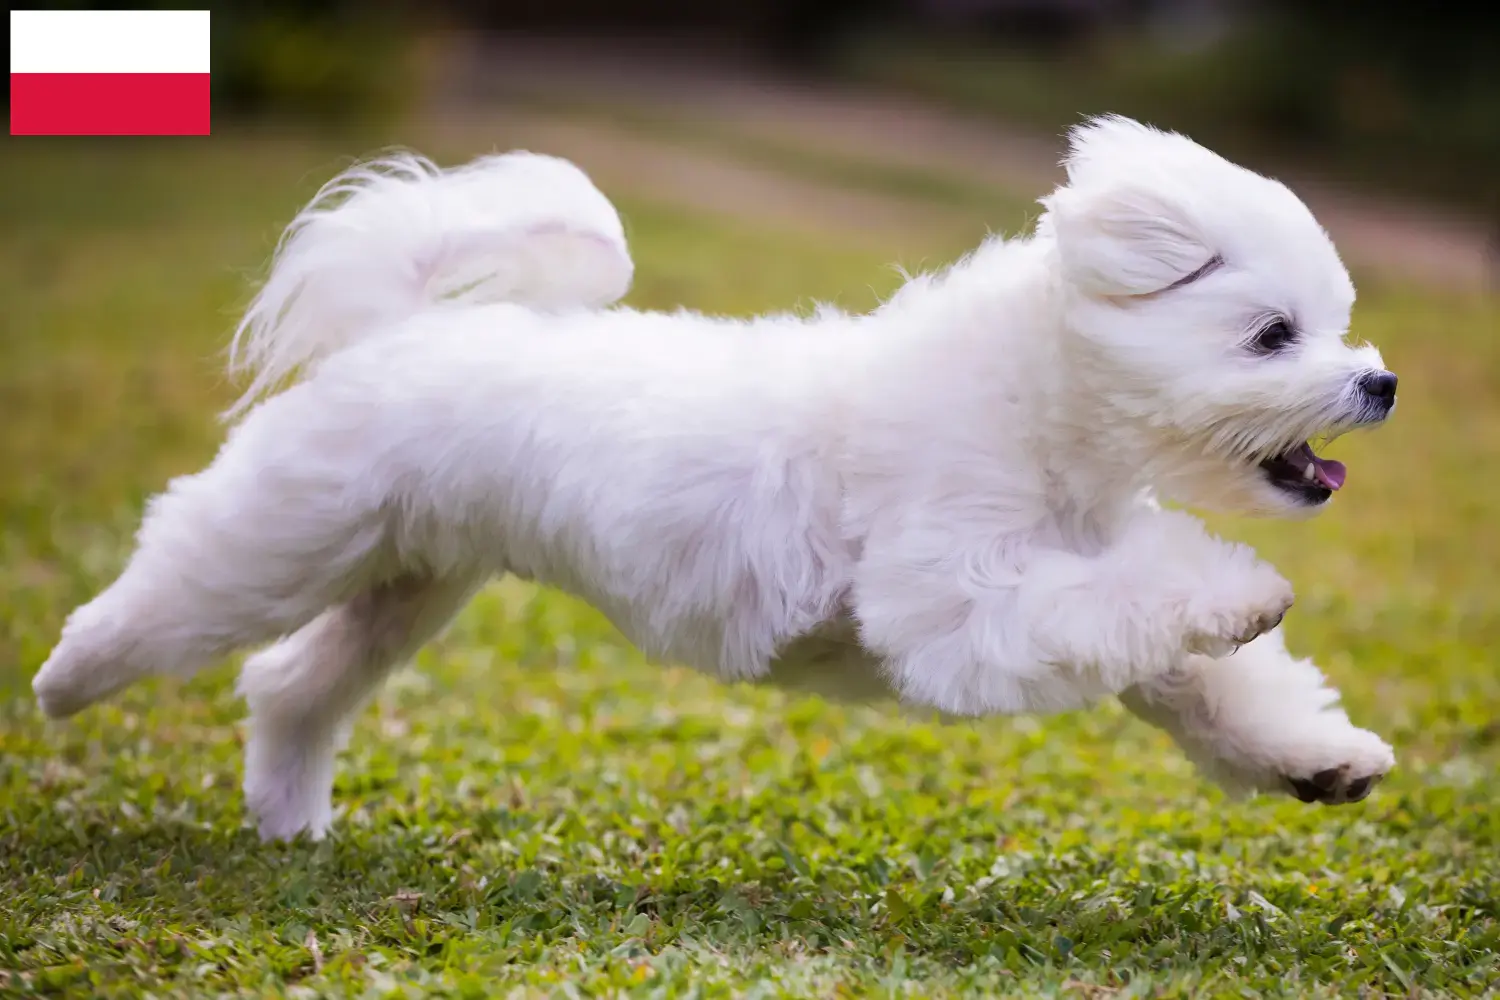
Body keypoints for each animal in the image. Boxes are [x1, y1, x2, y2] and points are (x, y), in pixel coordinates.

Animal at [32, 113, 1392, 839]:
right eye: (1272, 335)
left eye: (1339, 325)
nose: (1377, 382)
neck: (1043, 406)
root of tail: (403, 326)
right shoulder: (956, 603)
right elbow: (1152, 600)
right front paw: (1243, 591)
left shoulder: (1076, 581)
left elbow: (1203, 680)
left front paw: (1316, 760)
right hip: (285, 537)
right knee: (174, 598)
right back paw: (62, 685)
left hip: (409, 583)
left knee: (292, 684)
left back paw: (290, 821)